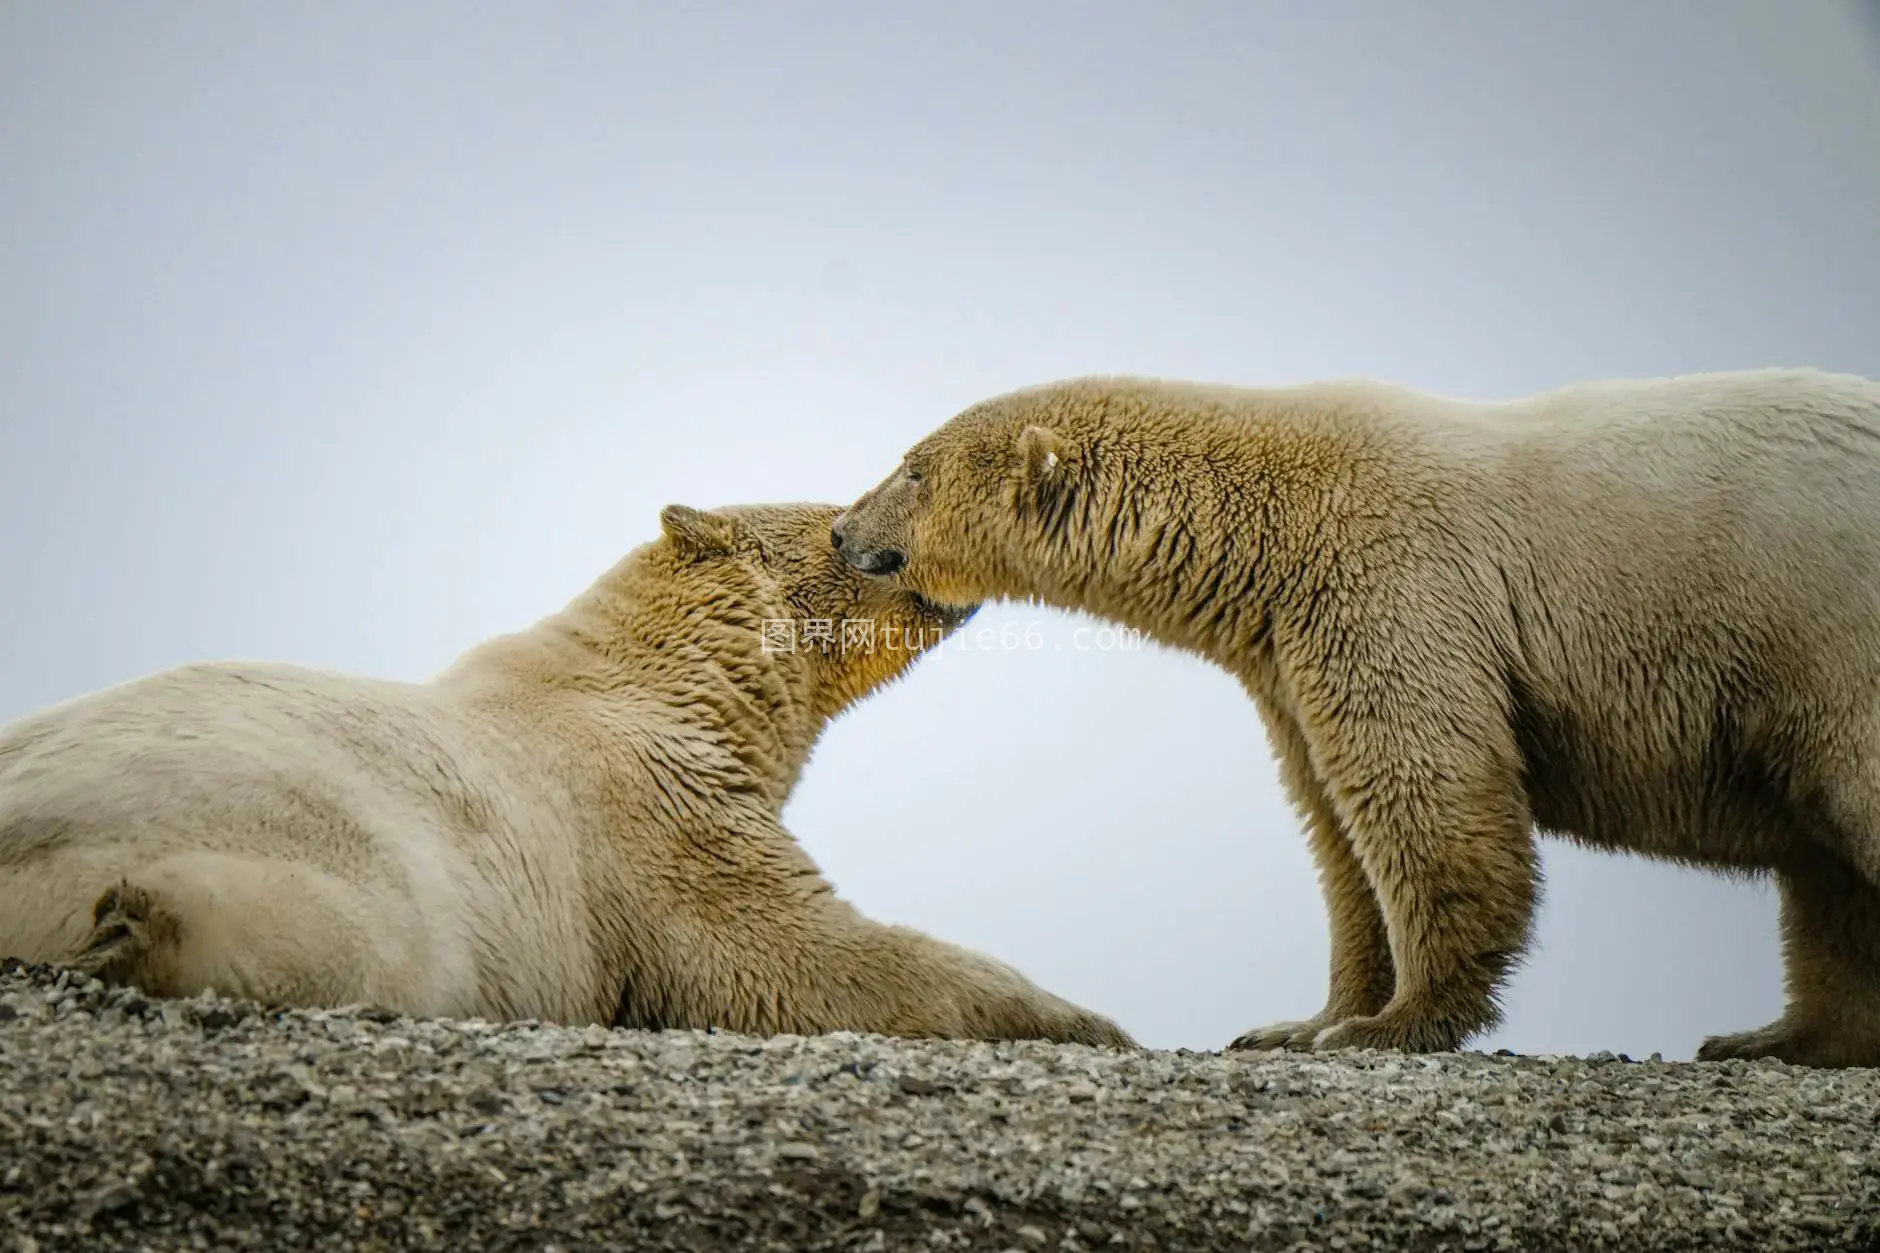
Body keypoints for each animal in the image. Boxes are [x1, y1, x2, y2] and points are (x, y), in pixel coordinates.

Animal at [0, 496, 1128, 1046]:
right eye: (841, 512)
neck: (662, 677)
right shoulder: (649, 817)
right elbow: (794, 953)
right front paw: (1086, 1018)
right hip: (349, 860)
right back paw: (137, 930)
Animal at [834, 363, 1880, 1061]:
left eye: (912, 468)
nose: (843, 530)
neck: (1265, 521)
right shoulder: (1288, 652)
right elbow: (1335, 825)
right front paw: (1300, 1020)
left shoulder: (1391, 583)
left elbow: (1426, 790)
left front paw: (1394, 1023)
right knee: (1825, 877)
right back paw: (1776, 1036)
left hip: (1825, 631)